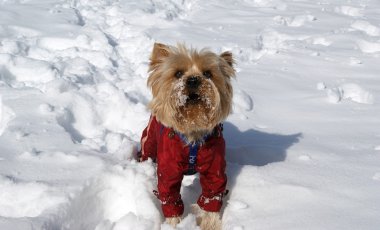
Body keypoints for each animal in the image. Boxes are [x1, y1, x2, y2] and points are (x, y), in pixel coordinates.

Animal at [138, 42, 236, 228]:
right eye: (178, 73)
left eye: (208, 73)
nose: (193, 79)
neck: (193, 133)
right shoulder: (168, 171)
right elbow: (170, 196)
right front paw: (173, 225)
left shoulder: (215, 169)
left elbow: (212, 196)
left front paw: (209, 225)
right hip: (150, 139)